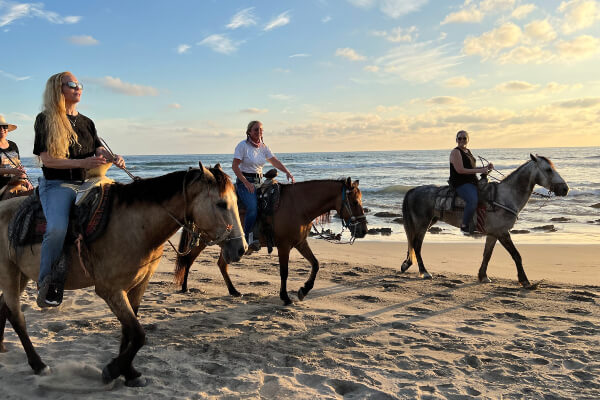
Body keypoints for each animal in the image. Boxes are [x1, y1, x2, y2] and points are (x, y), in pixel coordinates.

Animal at [0, 163, 246, 388]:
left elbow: (129, 332)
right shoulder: (110, 290)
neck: (136, 226)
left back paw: (3, 346)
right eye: (221, 204)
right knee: (17, 316)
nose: (241, 248)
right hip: (9, 273)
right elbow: (138, 334)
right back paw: (38, 364)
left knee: (5, 307)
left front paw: (128, 372)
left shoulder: (137, 285)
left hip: (22, 275)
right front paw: (113, 370)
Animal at [176, 177, 368, 304]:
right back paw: (184, 287)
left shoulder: (300, 243)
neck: (299, 206)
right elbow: (284, 272)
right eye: (354, 201)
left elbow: (315, 264)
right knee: (188, 258)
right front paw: (285, 297)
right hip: (204, 239)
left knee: (221, 264)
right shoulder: (284, 246)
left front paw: (304, 290)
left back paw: (234, 291)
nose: (363, 230)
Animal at [400, 155, 568, 290]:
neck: (504, 196)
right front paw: (525, 281)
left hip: (429, 222)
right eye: (548, 170)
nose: (565, 189)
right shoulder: (502, 232)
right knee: (417, 245)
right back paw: (425, 272)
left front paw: (483, 276)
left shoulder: (493, 234)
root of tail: (413, 190)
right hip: (422, 223)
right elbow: (516, 255)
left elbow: (487, 254)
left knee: (414, 244)